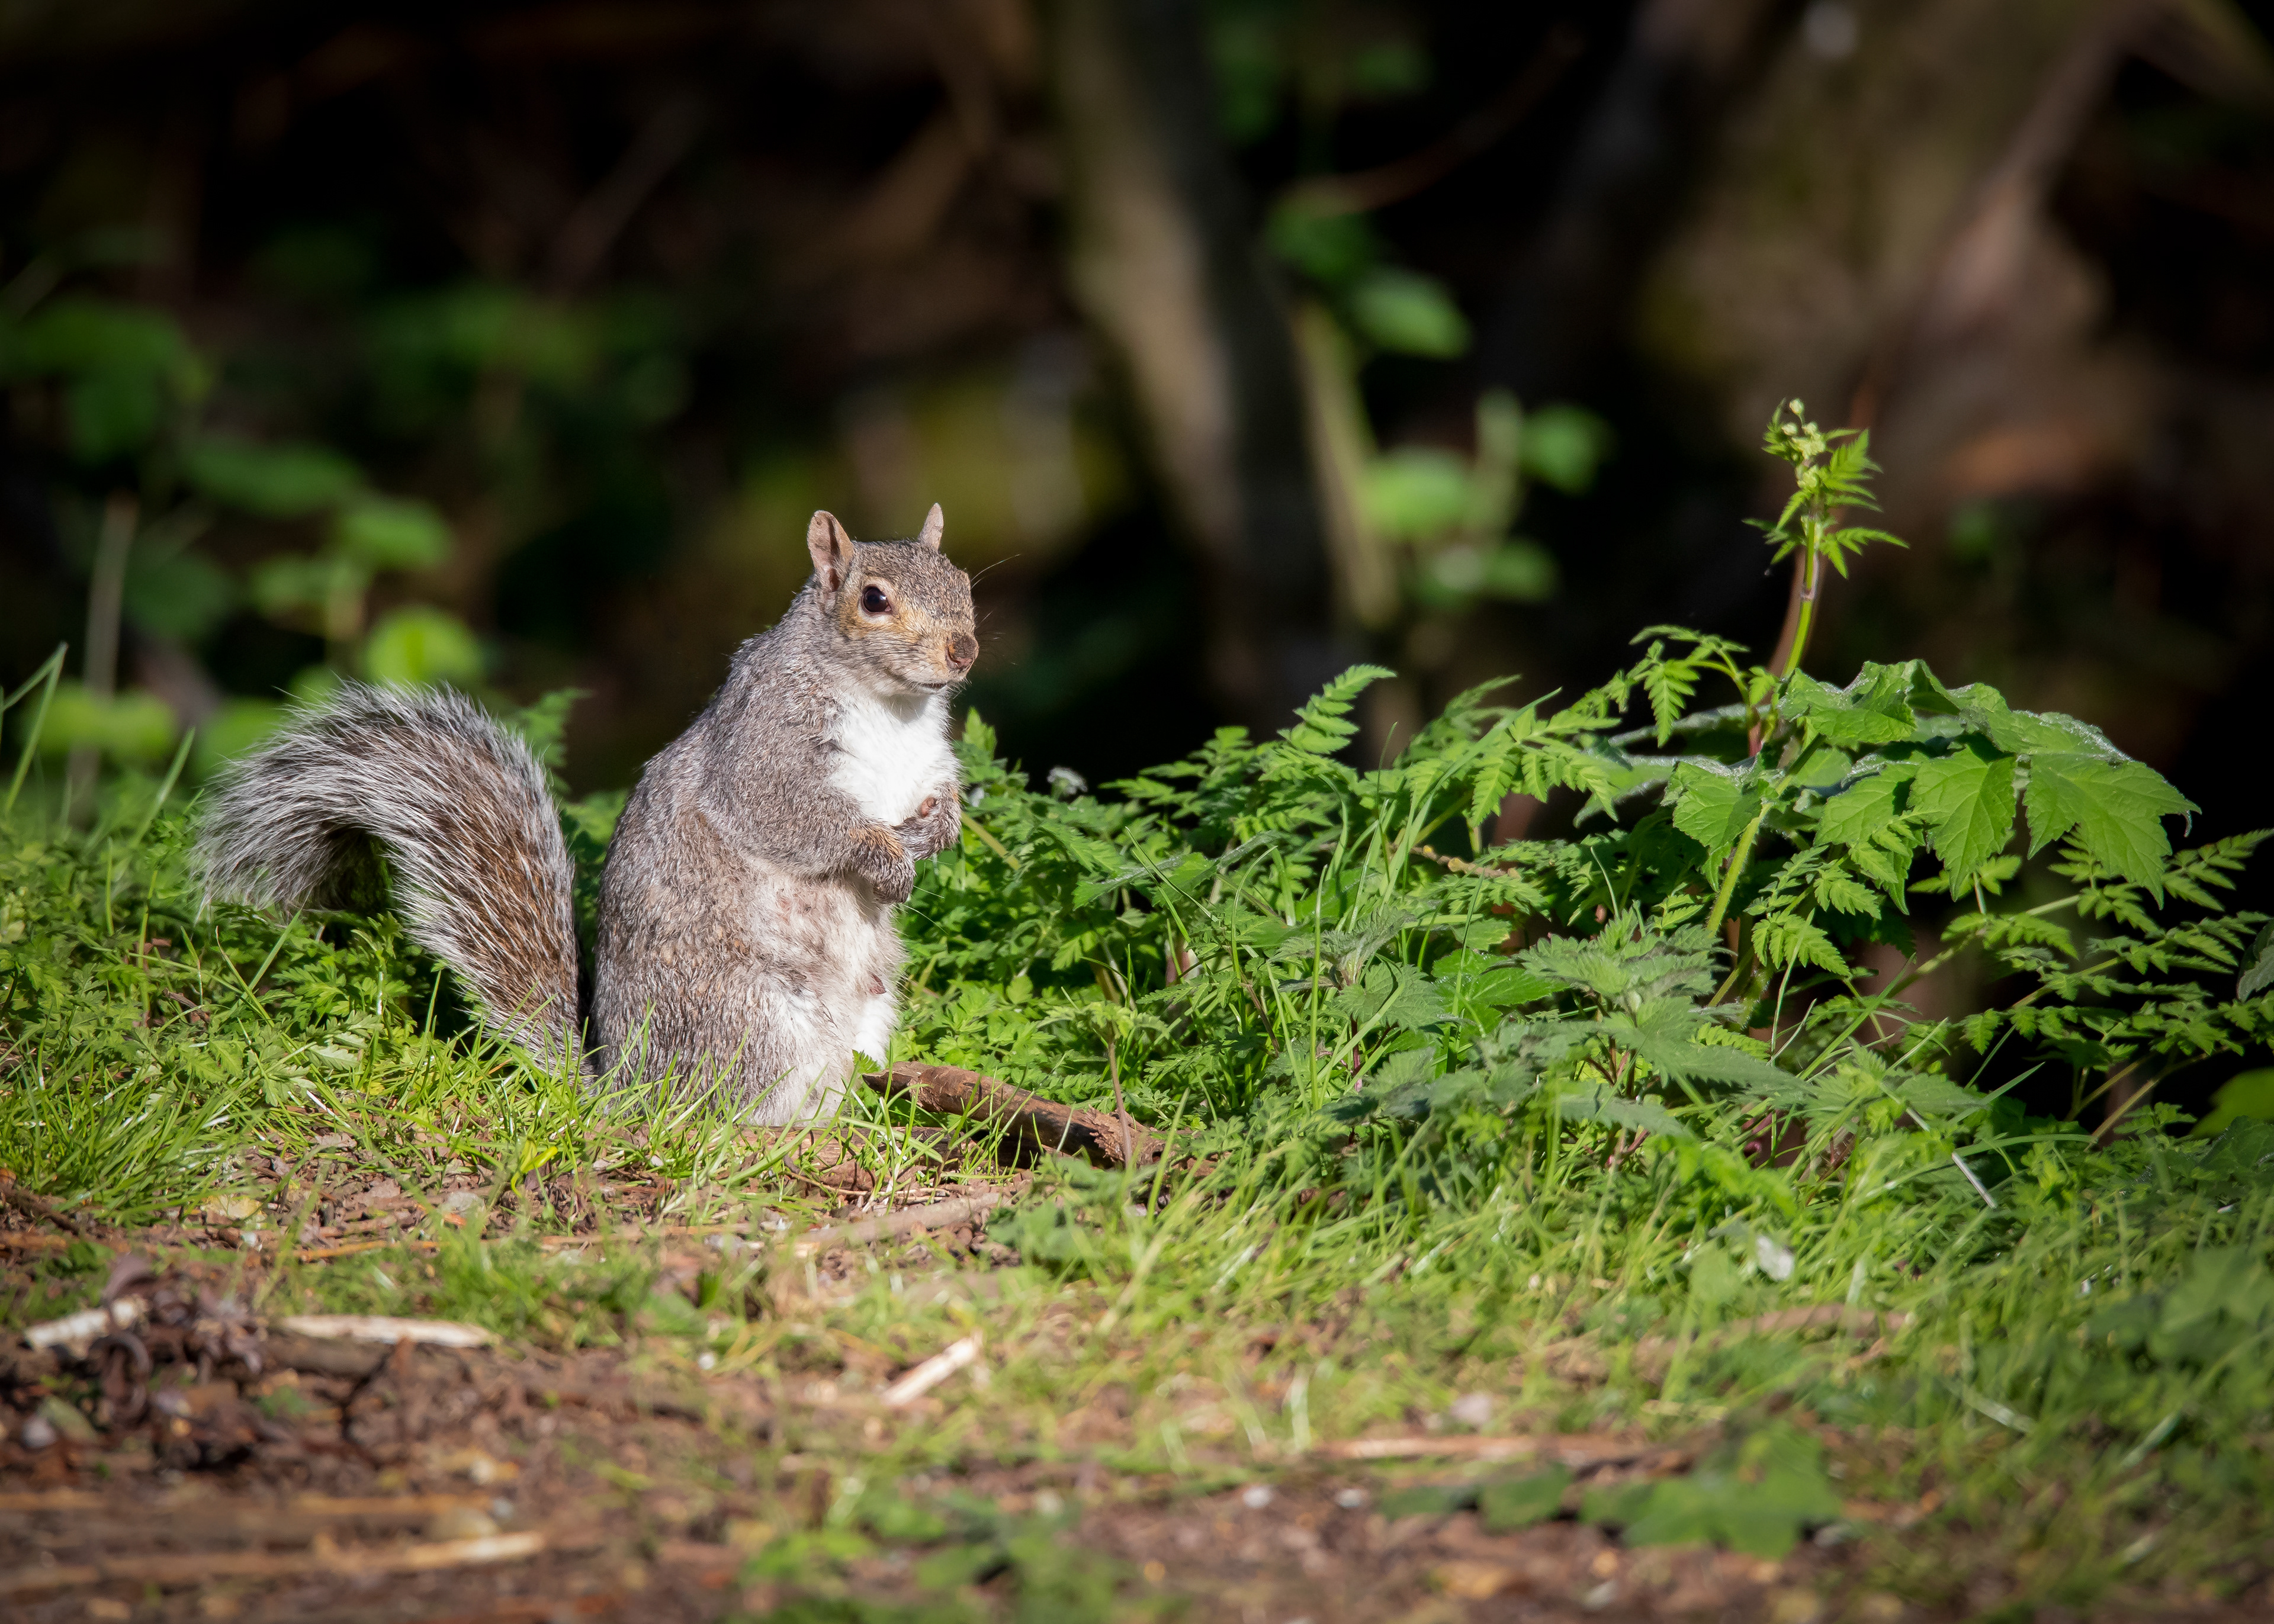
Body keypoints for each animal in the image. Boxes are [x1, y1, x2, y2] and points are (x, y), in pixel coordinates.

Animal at [198, 506, 978, 1124]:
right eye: (873, 599)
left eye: (965, 583)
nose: (964, 650)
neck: (892, 707)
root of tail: (627, 1088)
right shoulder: (764, 751)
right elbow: (798, 819)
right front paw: (884, 859)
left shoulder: (928, 761)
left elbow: (942, 796)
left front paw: (937, 832)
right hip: (753, 1023)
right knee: (724, 1117)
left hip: (866, 1018)